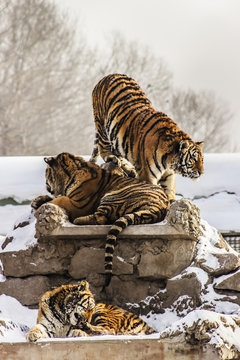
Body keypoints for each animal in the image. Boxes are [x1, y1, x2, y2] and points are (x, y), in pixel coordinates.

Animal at [25, 280, 154, 342]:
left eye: (92, 309)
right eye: (88, 308)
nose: (87, 320)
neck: (62, 315)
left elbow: (75, 331)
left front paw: (80, 333)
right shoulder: (46, 325)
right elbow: (36, 328)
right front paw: (32, 335)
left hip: (103, 313)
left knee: (109, 330)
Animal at [32, 152, 170, 286]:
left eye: (47, 173)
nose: (46, 185)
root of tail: (159, 207)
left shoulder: (78, 205)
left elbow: (60, 199)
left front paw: (39, 208)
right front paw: (37, 201)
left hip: (112, 196)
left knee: (100, 218)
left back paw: (78, 220)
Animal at [90, 73, 204, 202]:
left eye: (202, 160)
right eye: (193, 158)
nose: (201, 172)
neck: (169, 160)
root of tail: (109, 76)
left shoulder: (169, 174)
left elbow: (170, 189)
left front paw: (171, 200)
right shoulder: (147, 175)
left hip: (117, 139)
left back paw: (130, 170)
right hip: (102, 126)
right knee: (103, 148)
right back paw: (113, 158)